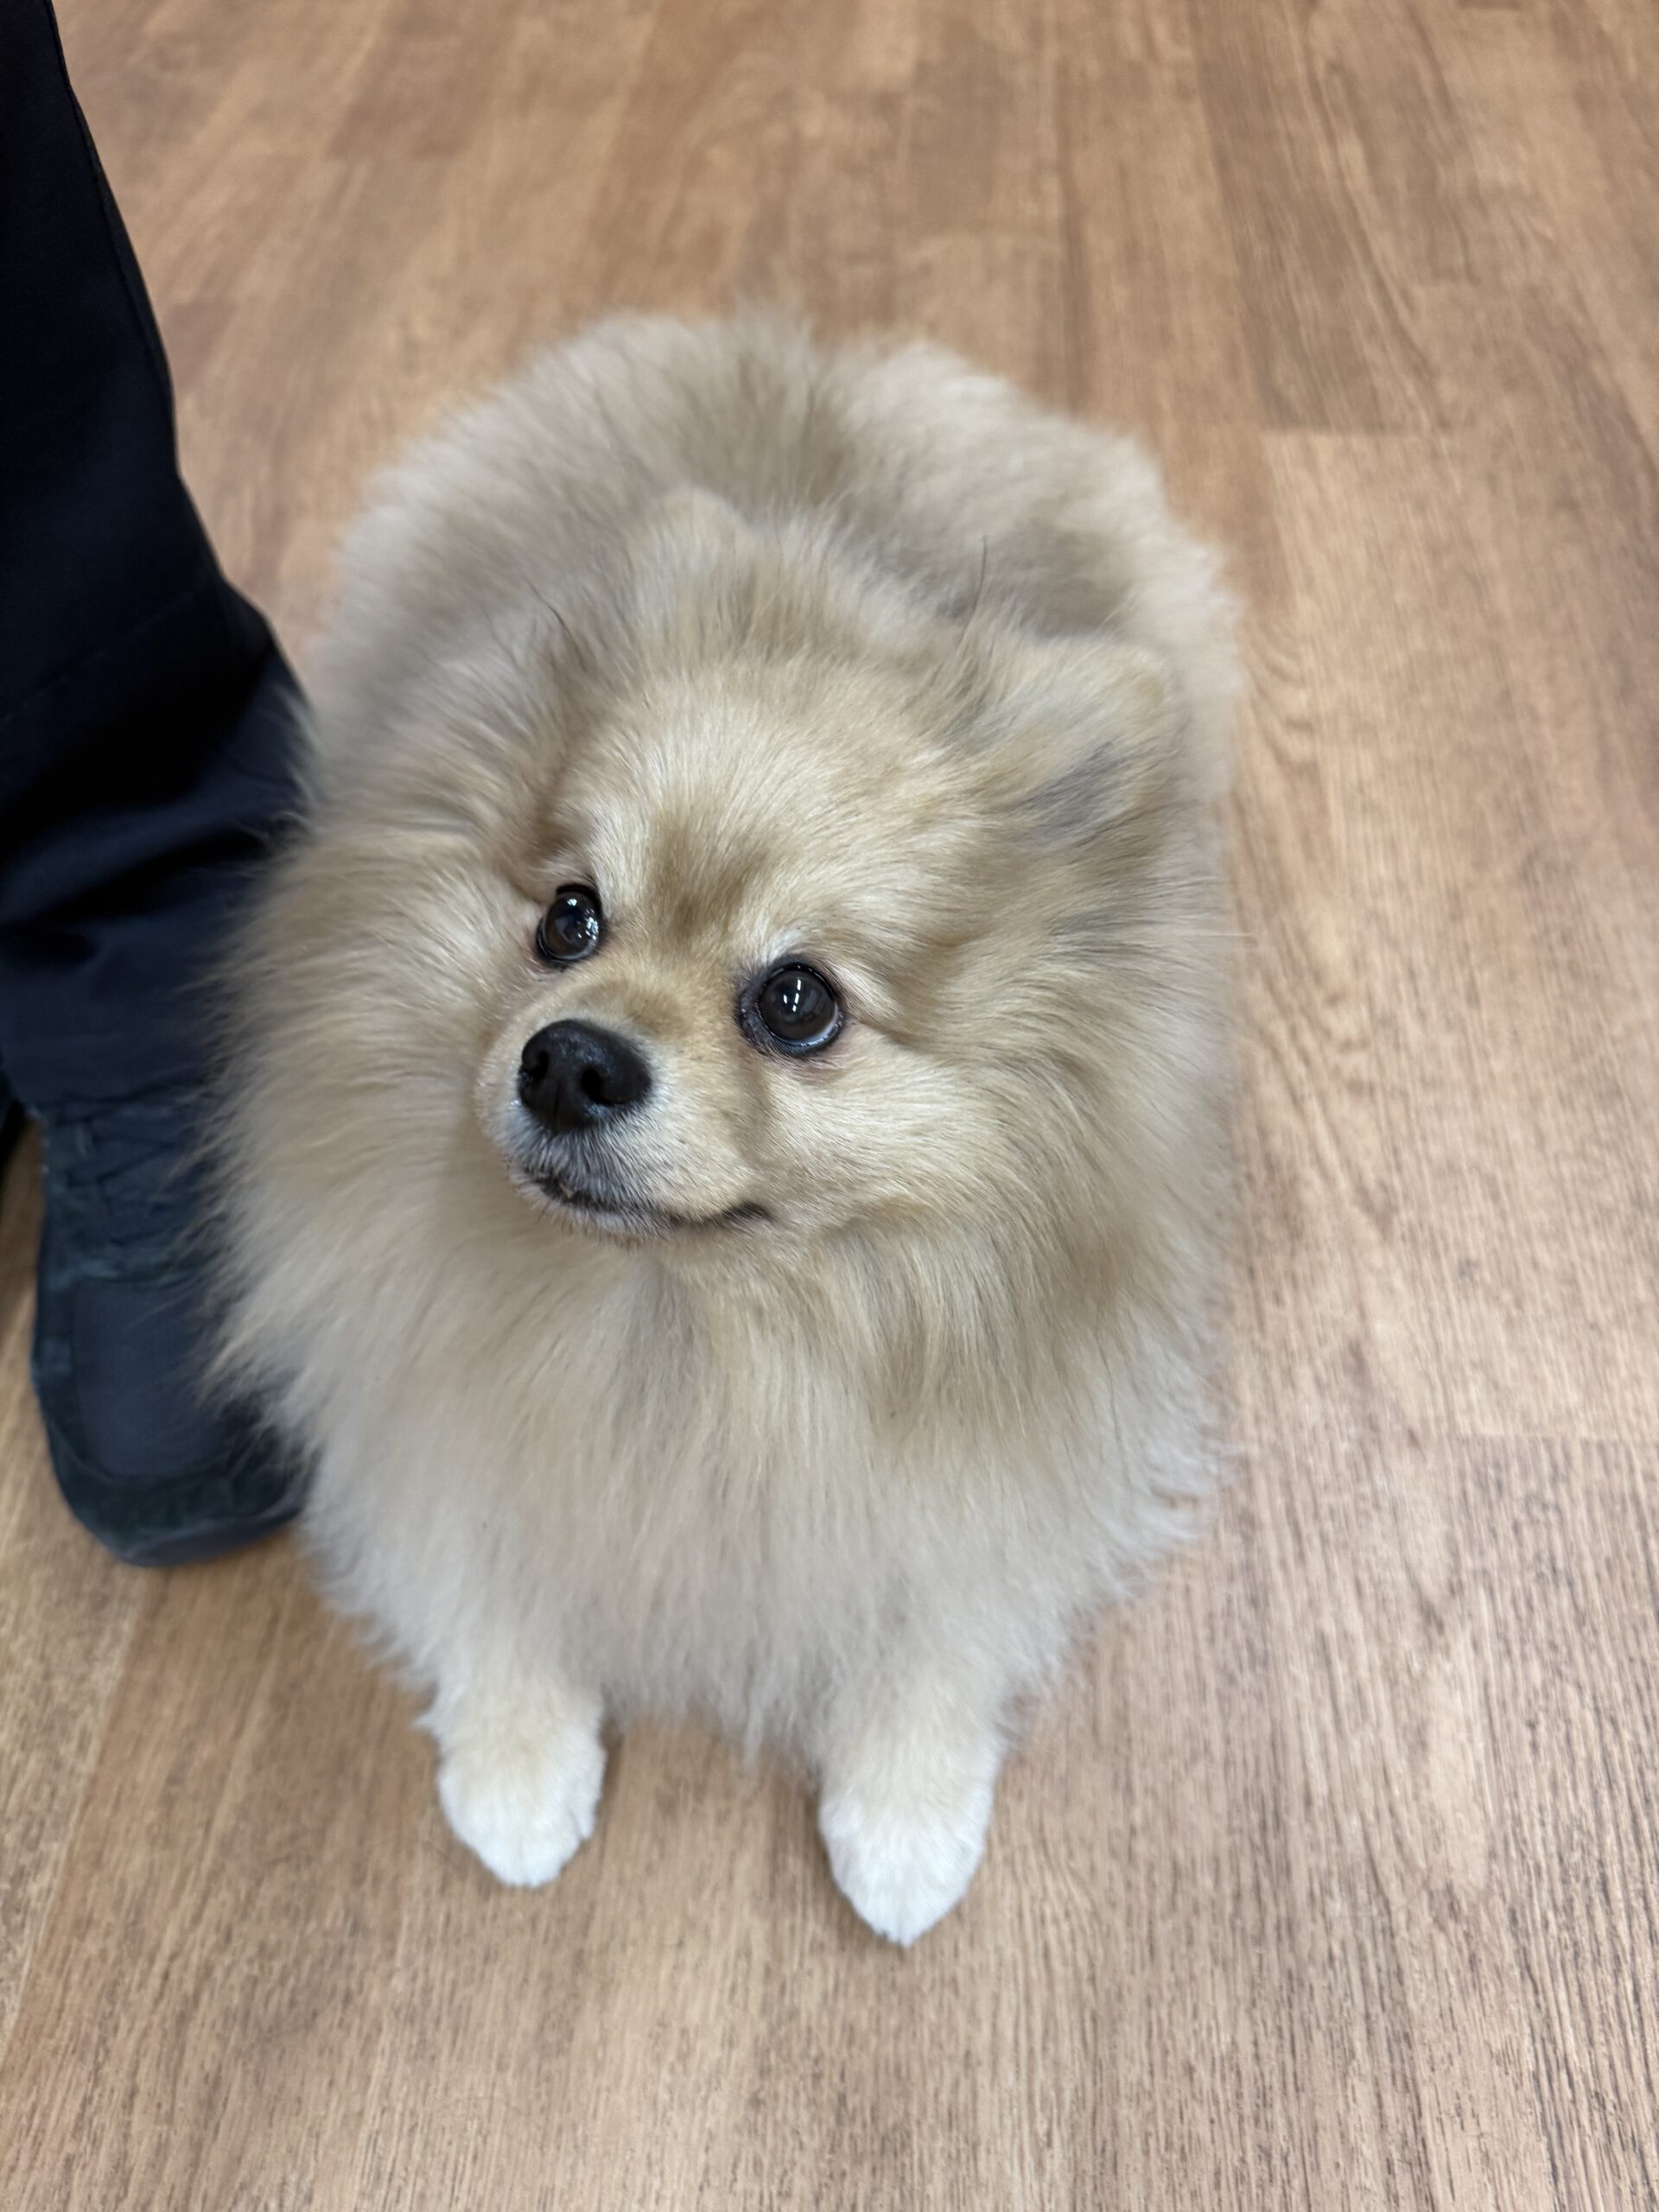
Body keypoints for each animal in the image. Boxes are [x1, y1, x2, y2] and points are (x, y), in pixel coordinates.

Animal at [218, 312, 1236, 1944]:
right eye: (569, 919)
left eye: (797, 1003)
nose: (570, 1062)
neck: (685, 1335)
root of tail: (807, 360)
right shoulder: (416, 1394)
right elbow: (472, 1555)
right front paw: (516, 1759)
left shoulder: (1013, 1461)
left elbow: (948, 1616)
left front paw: (905, 1811)